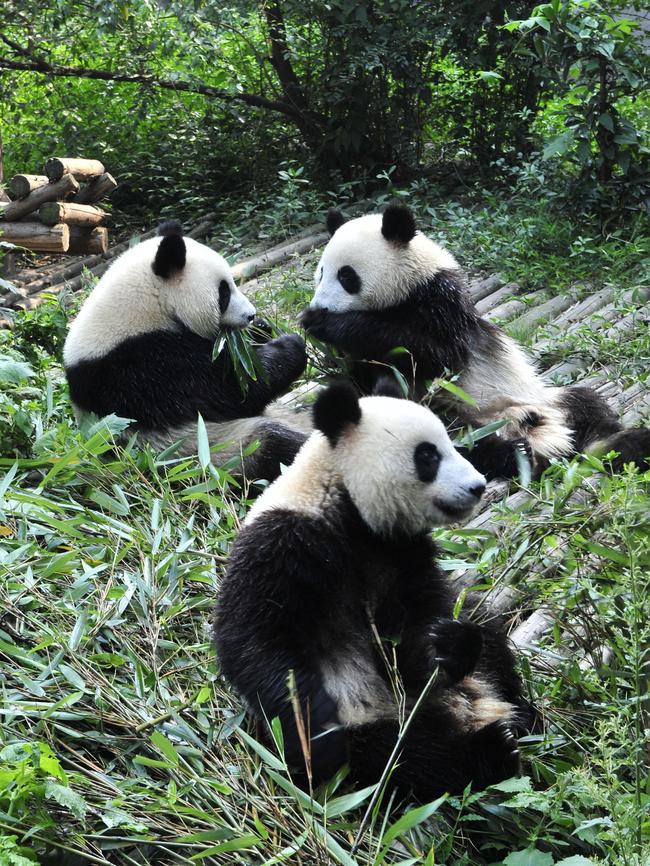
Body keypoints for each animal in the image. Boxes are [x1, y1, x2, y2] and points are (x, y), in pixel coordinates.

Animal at [63, 221, 308, 480]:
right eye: (224, 292)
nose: (251, 315)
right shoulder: (141, 368)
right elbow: (231, 392)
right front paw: (290, 345)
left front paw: (261, 330)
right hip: (214, 450)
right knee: (275, 446)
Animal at [215, 382, 536, 800]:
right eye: (428, 455)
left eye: (451, 443)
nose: (477, 486)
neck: (343, 499)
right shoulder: (283, 544)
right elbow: (254, 641)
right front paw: (317, 740)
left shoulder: (400, 551)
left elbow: (415, 628)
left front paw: (448, 647)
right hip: (370, 718)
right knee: (406, 757)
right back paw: (492, 750)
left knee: (489, 636)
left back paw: (522, 717)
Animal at [300, 202, 648, 476]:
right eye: (321, 272)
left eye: (347, 276)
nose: (321, 305)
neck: (407, 288)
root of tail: (540, 430)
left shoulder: (441, 304)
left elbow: (434, 354)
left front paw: (324, 323)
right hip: (453, 414)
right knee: (455, 443)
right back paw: (516, 453)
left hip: (540, 396)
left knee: (590, 406)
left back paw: (618, 444)